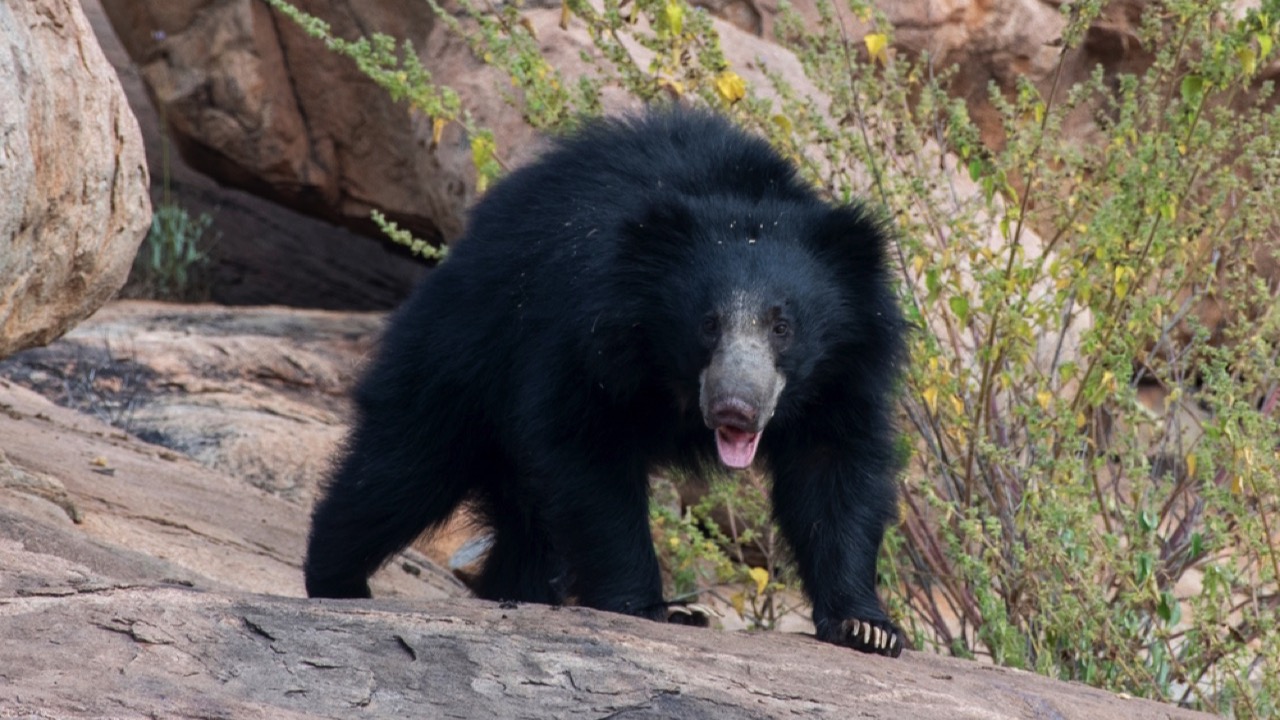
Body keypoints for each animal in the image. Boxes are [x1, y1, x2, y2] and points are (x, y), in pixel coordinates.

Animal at [307, 107, 911, 655]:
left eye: (783, 326)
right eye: (708, 323)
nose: (735, 409)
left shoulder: (847, 370)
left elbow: (832, 471)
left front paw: (867, 627)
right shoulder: (586, 338)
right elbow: (589, 456)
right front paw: (647, 608)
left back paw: (512, 594)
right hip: (464, 351)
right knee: (401, 469)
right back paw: (337, 581)